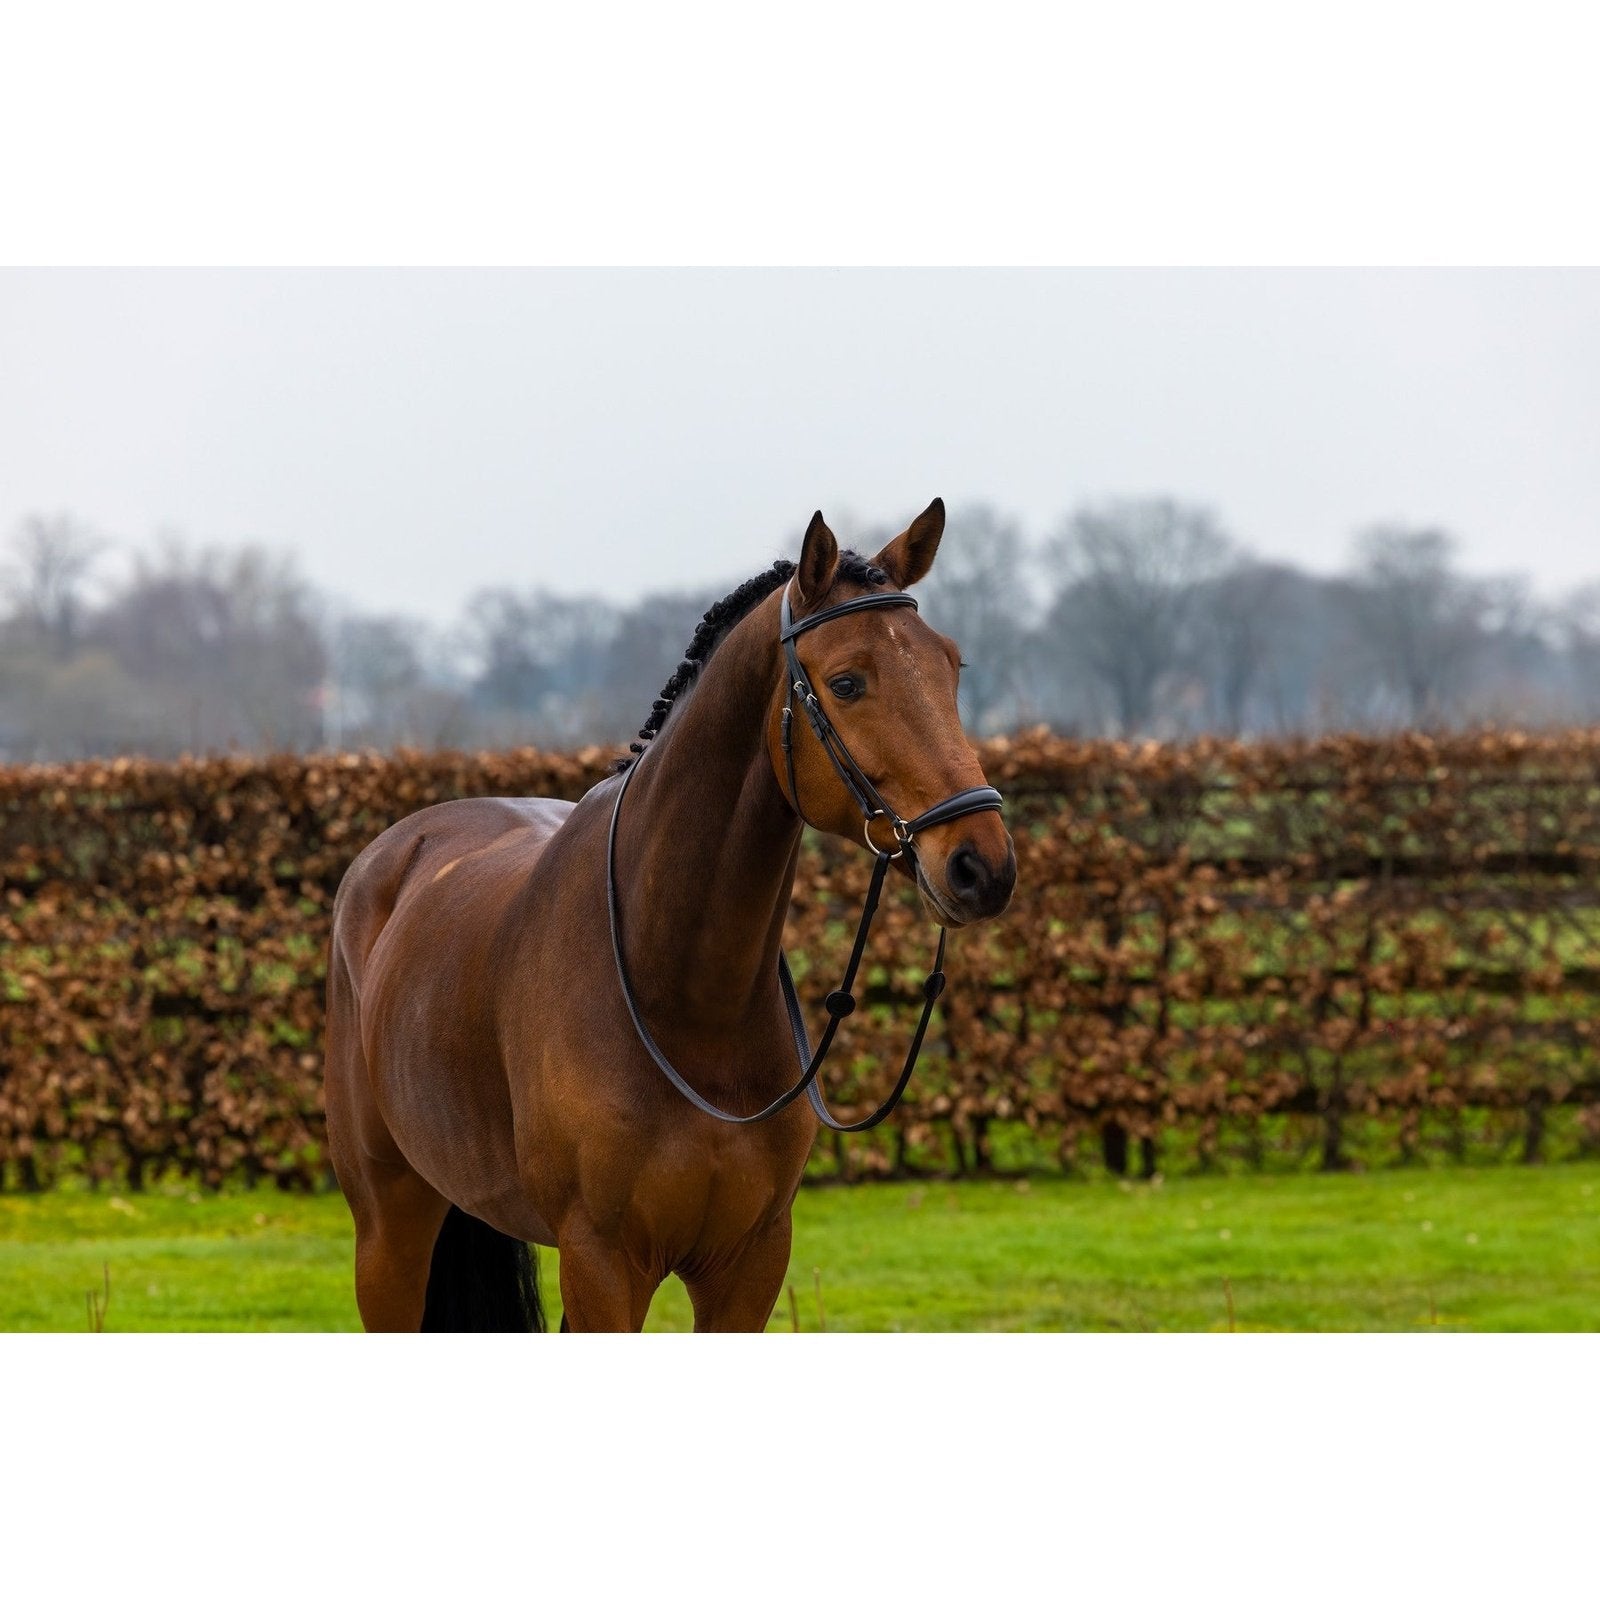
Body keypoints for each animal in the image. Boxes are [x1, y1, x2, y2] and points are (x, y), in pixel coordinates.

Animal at [324, 499, 1017, 1331]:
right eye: (848, 682)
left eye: (951, 667)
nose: (982, 864)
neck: (686, 1004)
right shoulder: (602, 1262)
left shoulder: (749, 1262)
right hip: (389, 1229)